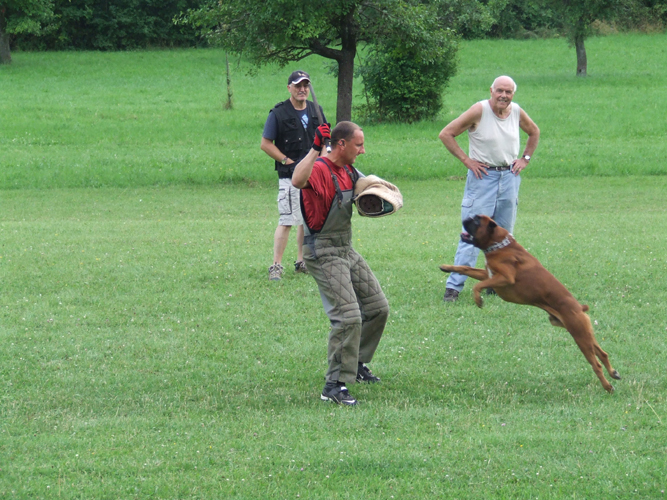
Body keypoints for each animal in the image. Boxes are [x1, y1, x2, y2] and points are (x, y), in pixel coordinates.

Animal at [438, 213, 620, 392]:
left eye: (476, 221)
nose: (466, 217)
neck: (499, 246)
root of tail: (580, 308)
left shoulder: (504, 278)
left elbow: (477, 286)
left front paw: (478, 300)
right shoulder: (488, 275)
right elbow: (465, 268)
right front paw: (446, 267)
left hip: (580, 336)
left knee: (596, 364)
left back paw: (608, 386)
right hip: (582, 333)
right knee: (603, 353)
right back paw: (613, 373)